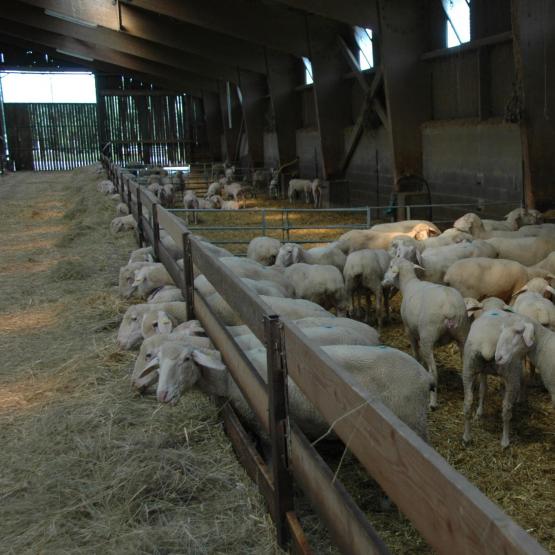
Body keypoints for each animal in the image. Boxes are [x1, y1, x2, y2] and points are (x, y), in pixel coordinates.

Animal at [384, 258, 472, 410]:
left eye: (390, 266)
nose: (383, 281)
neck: (408, 284)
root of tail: (449, 307)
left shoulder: (409, 330)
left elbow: (416, 352)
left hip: (428, 337)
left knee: (434, 373)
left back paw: (432, 402)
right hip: (462, 334)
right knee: (466, 370)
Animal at [462, 312, 536, 448]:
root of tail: (487, 343)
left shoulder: (483, 371)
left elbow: (482, 390)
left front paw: (479, 412)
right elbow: (524, 376)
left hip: (468, 368)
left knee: (468, 403)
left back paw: (466, 437)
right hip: (511, 373)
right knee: (506, 410)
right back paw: (505, 441)